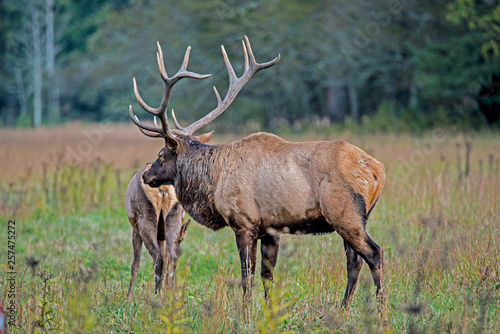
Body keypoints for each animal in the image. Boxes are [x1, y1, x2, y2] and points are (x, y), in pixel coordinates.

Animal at [129, 36, 386, 306]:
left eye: (161, 155)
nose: (146, 175)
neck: (213, 182)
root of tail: (377, 170)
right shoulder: (271, 230)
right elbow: (267, 277)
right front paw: (268, 310)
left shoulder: (244, 223)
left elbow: (247, 276)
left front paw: (244, 311)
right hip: (358, 217)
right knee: (354, 260)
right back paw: (344, 307)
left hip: (345, 215)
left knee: (374, 253)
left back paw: (380, 308)